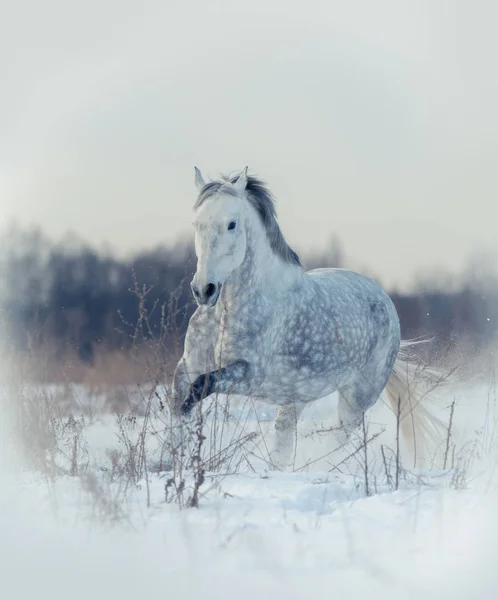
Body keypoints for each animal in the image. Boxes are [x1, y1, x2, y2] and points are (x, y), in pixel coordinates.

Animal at [171, 168, 444, 468]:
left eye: (231, 224)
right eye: (197, 223)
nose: (203, 290)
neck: (229, 311)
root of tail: (384, 299)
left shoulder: (250, 373)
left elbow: (201, 386)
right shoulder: (188, 364)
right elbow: (180, 398)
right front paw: (176, 455)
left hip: (357, 398)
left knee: (337, 439)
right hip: (295, 398)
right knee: (283, 441)